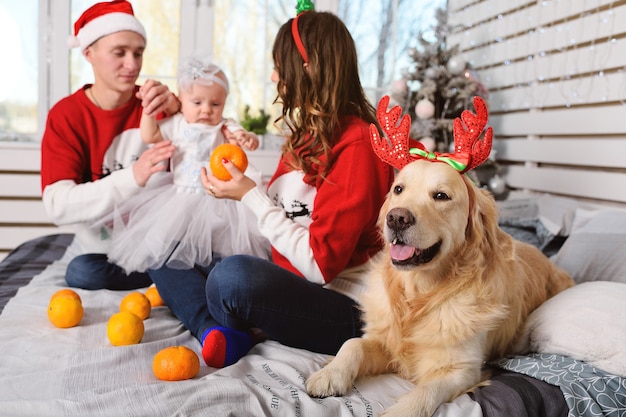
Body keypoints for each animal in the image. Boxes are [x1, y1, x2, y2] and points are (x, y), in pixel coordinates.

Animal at [304, 159, 572, 416]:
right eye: (398, 189)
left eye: (441, 196)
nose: (396, 218)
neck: (420, 293)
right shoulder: (386, 341)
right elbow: (353, 344)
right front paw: (330, 374)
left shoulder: (462, 369)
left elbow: (427, 391)